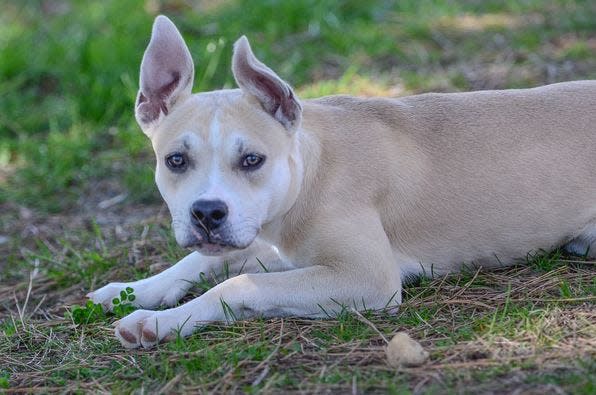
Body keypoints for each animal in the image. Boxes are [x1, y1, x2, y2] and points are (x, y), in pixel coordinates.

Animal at [88, 15, 596, 350]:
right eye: (176, 160)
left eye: (252, 160)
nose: (207, 213)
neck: (312, 171)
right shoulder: (267, 240)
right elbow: (199, 261)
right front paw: (133, 291)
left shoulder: (365, 277)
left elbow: (237, 285)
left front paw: (160, 322)